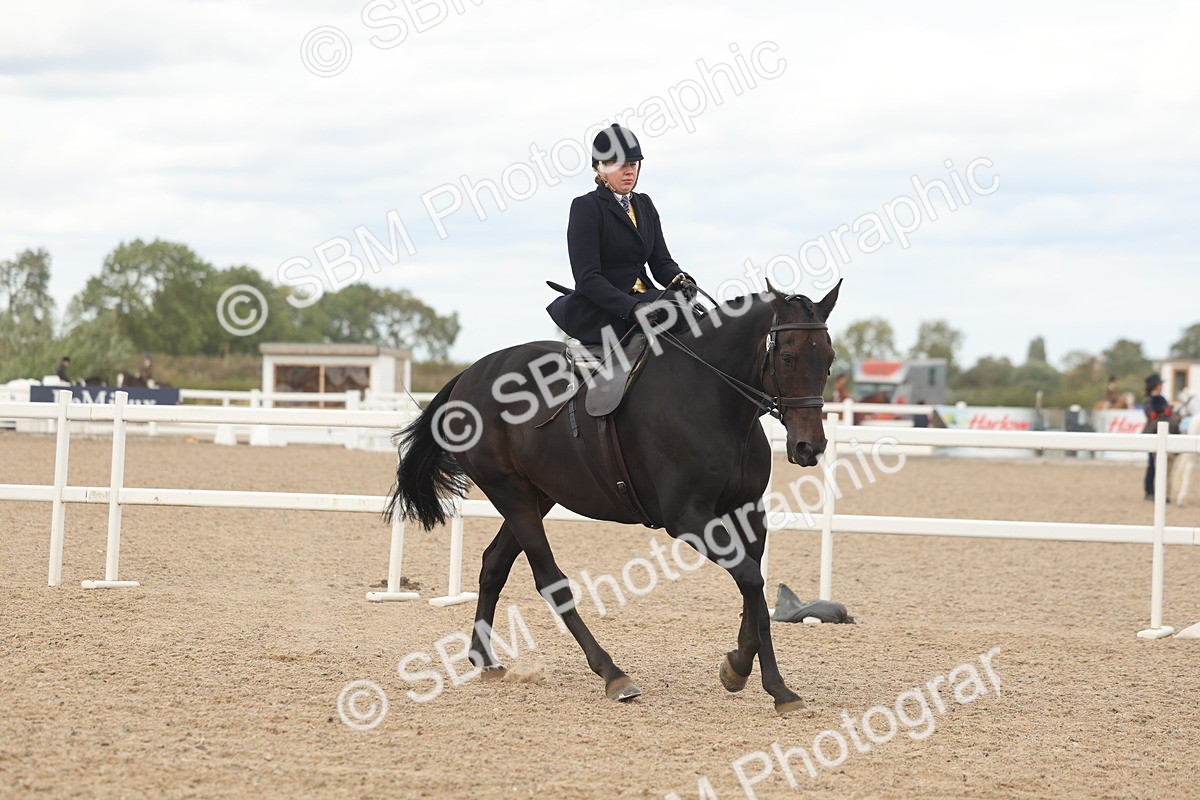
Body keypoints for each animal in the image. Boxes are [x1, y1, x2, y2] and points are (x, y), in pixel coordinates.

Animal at [386, 283, 841, 715]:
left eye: (829, 359)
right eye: (787, 358)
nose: (809, 447)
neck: (714, 396)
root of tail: (469, 374)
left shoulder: (747, 511)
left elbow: (755, 590)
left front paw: (760, 678)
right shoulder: (686, 517)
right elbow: (749, 578)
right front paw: (753, 674)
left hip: (538, 494)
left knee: (494, 564)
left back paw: (484, 658)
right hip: (510, 493)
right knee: (550, 580)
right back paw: (612, 674)